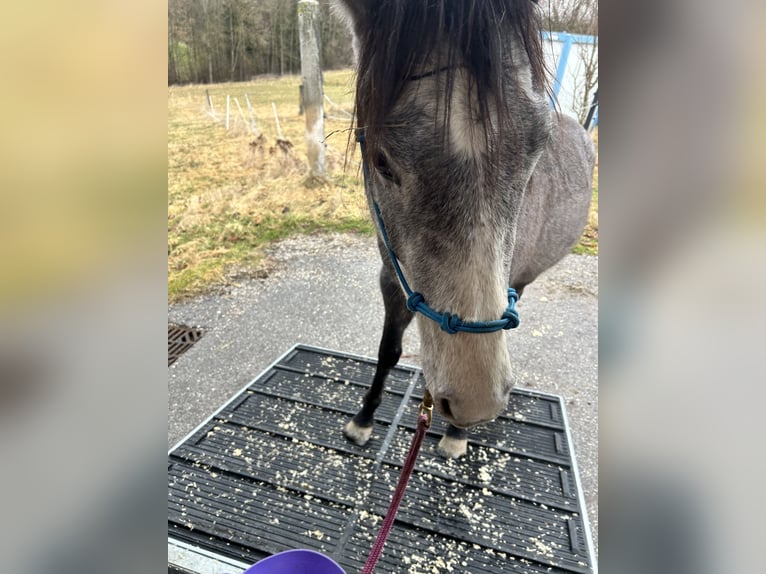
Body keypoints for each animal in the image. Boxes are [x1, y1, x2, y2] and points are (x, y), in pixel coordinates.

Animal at [336, 0, 595, 458]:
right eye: (382, 161)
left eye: (537, 148)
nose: (476, 403)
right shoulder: (391, 277)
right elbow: (388, 351)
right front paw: (363, 420)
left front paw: (456, 434)